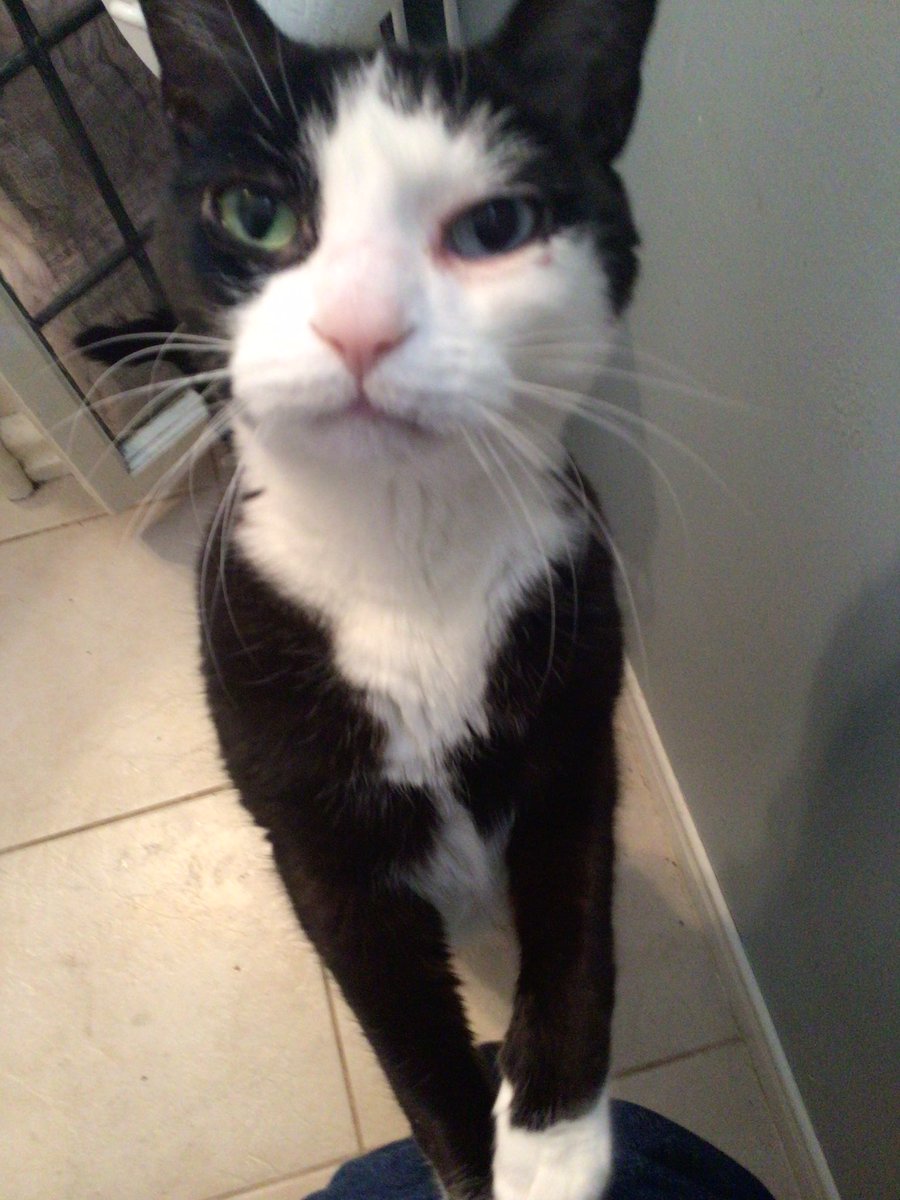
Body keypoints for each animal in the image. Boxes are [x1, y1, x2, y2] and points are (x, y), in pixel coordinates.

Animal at [132, 2, 657, 1200]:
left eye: (498, 223)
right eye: (256, 214)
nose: (361, 327)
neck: (409, 553)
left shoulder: (576, 731)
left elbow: (577, 947)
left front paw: (551, 1153)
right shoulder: (315, 835)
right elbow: (403, 1027)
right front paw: (475, 1163)